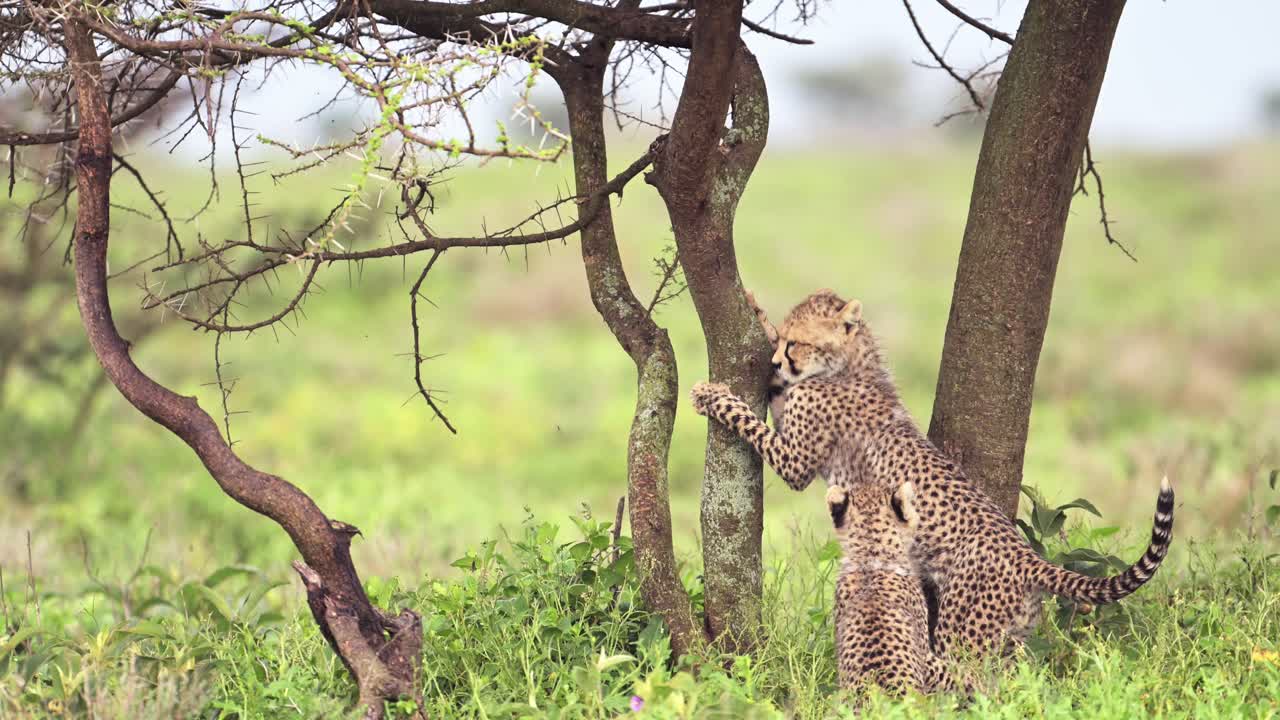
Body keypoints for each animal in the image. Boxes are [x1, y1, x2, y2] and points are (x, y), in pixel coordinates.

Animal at [690, 289, 1176, 657]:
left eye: (795, 344)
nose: (776, 360)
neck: (851, 364)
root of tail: (1027, 556)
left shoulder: (796, 461)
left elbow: (750, 421)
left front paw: (712, 395)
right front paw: (754, 310)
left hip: (963, 631)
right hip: (1012, 637)